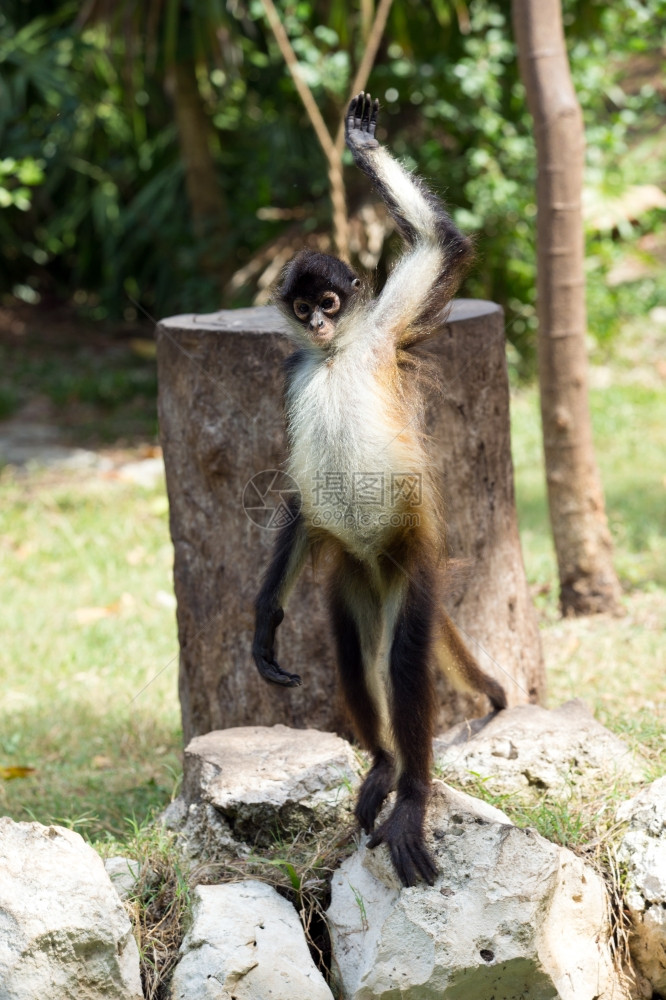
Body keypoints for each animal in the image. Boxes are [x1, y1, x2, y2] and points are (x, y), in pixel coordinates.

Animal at [252, 90, 506, 880]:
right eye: (302, 309)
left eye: (331, 302)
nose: (317, 322)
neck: (335, 358)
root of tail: (376, 563)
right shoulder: (294, 372)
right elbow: (300, 499)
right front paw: (263, 623)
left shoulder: (382, 335)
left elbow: (443, 246)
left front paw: (362, 142)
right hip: (351, 578)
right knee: (351, 654)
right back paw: (388, 767)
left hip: (408, 565)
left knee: (399, 663)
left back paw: (414, 794)